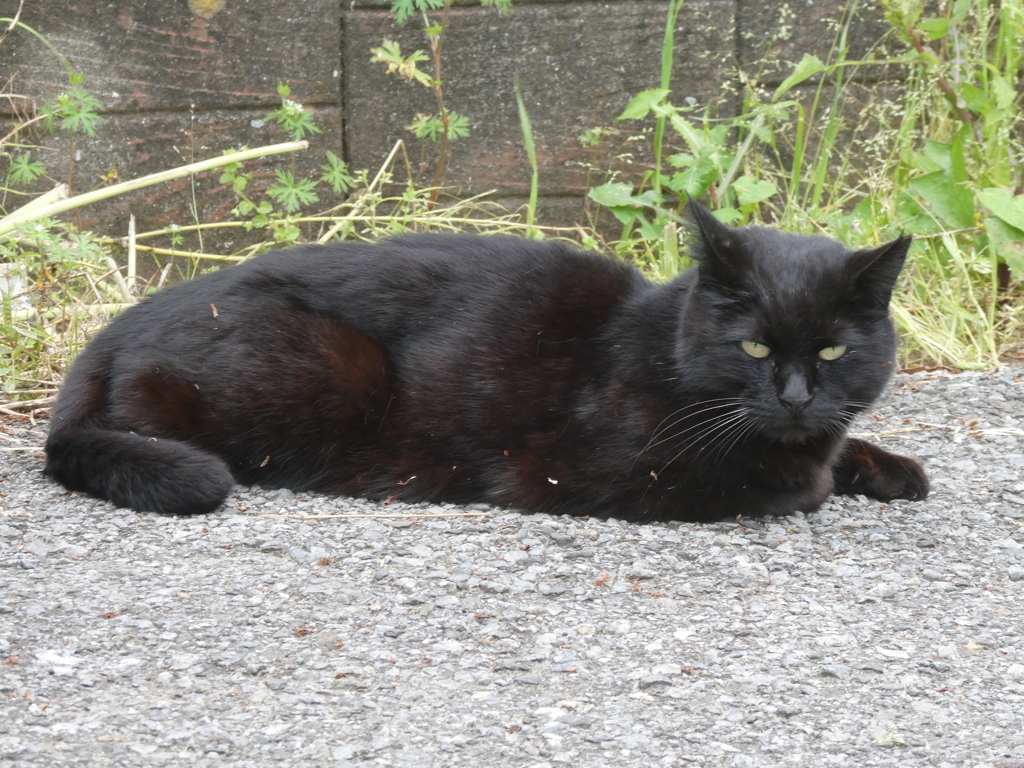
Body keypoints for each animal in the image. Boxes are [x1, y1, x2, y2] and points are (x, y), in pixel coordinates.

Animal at [44, 201, 929, 520]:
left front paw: (885, 466)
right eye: (753, 347)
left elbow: (839, 451)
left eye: (833, 350)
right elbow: (795, 485)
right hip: (332, 364)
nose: (795, 397)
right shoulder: (587, 470)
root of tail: (110, 332)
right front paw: (824, 475)